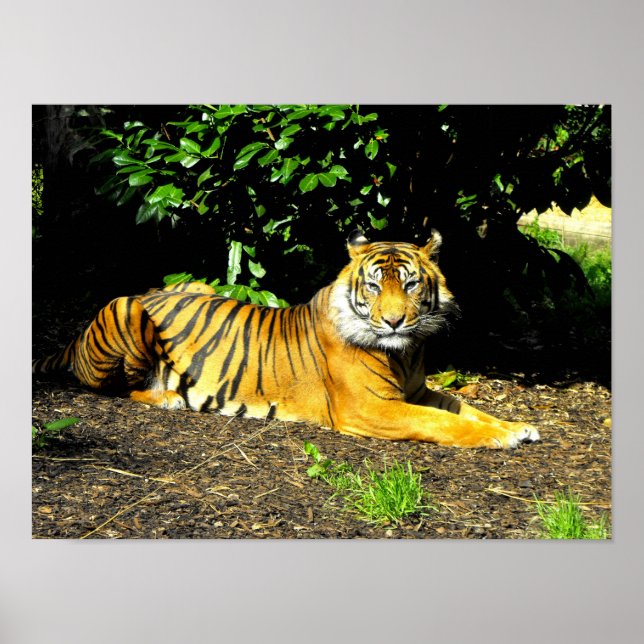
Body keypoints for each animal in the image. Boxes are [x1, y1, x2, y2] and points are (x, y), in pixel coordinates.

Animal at [33, 229, 540, 449]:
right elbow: (442, 423)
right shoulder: (371, 408)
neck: (407, 353)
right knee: (115, 387)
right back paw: (170, 399)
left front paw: (518, 426)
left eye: (412, 284)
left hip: (196, 283)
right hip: (126, 307)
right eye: (375, 287)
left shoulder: (417, 391)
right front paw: (501, 438)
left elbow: (467, 409)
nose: (395, 322)